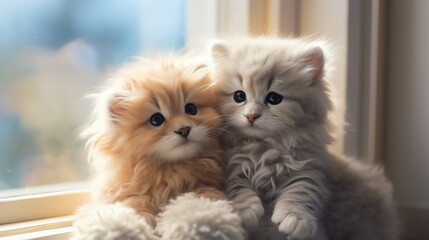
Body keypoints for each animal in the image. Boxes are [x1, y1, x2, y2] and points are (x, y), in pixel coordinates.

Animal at [81, 55, 226, 227]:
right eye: (156, 120)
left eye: (191, 109)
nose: (183, 129)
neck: (172, 172)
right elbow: (135, 205)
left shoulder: (203, 186)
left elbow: (201, 197)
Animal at [211, 36, 398, 240]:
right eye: (239, 96)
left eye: (274, 98)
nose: (251, 116)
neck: (265, 147)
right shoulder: (231, 165)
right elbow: (238, 185)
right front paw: (244, 211)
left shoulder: (309, 165)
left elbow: (300, 190)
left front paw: (295, 219)